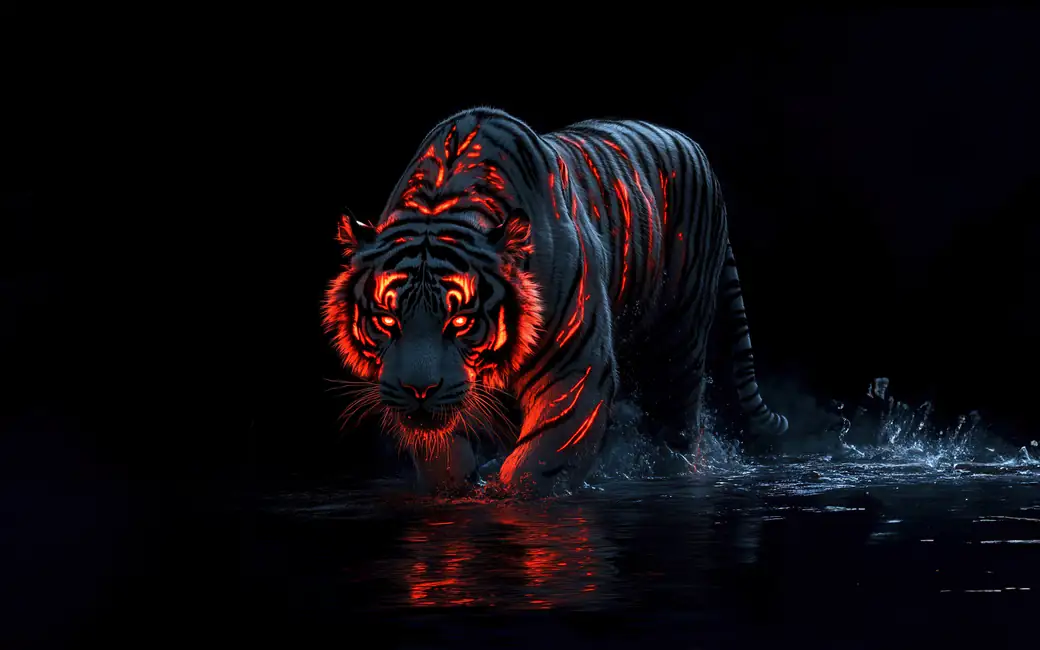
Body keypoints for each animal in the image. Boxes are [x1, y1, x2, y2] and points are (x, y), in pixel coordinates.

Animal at [323, 107, 788, 496]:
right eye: (387, 320)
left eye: (460, 322)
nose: (419, 390)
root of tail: (694, 146)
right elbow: (442, 455)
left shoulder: (576, 368)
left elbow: (541, 461)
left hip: (679, 341)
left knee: (676, 425)